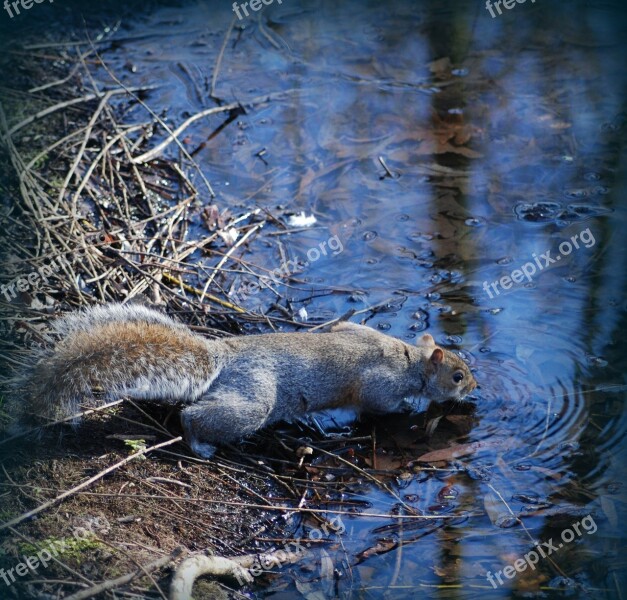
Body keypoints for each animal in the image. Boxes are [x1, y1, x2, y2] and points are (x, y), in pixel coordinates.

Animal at [4, 302, 478, 458]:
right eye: (457, 375)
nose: (475, 389)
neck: (411, 360)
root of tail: (223, 357)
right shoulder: (380, 382)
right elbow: (377, 403)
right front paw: (412, 407)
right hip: (254, 399)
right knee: (194, 415)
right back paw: (200, 443)